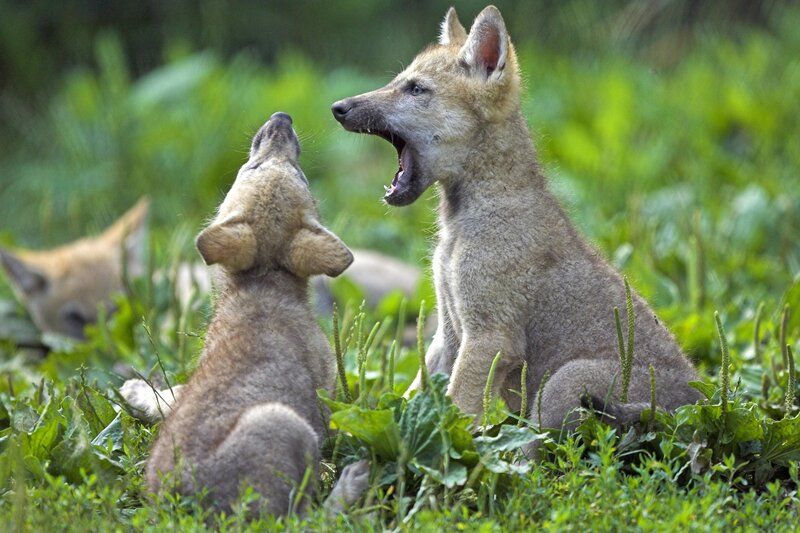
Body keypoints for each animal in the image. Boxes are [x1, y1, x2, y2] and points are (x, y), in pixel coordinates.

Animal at [138, 112, 367, 515]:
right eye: (253, 167)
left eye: (298, 173)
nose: (282, 118)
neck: (264, 279)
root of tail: (182, 501)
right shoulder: (326, 395)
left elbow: (172, 394)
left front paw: (137, 392)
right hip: (287, 429)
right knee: (307, 516)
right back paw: (351, 484)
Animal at [331, 6, 701, 445]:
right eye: (399, 81)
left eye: (416, 89)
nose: (337, 107)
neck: (461, 225)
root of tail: (697, 408)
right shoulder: (449, 334)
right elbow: (413, 396)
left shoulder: (490, 337)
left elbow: (455, 412)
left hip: (563, 383)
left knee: (541, 446)